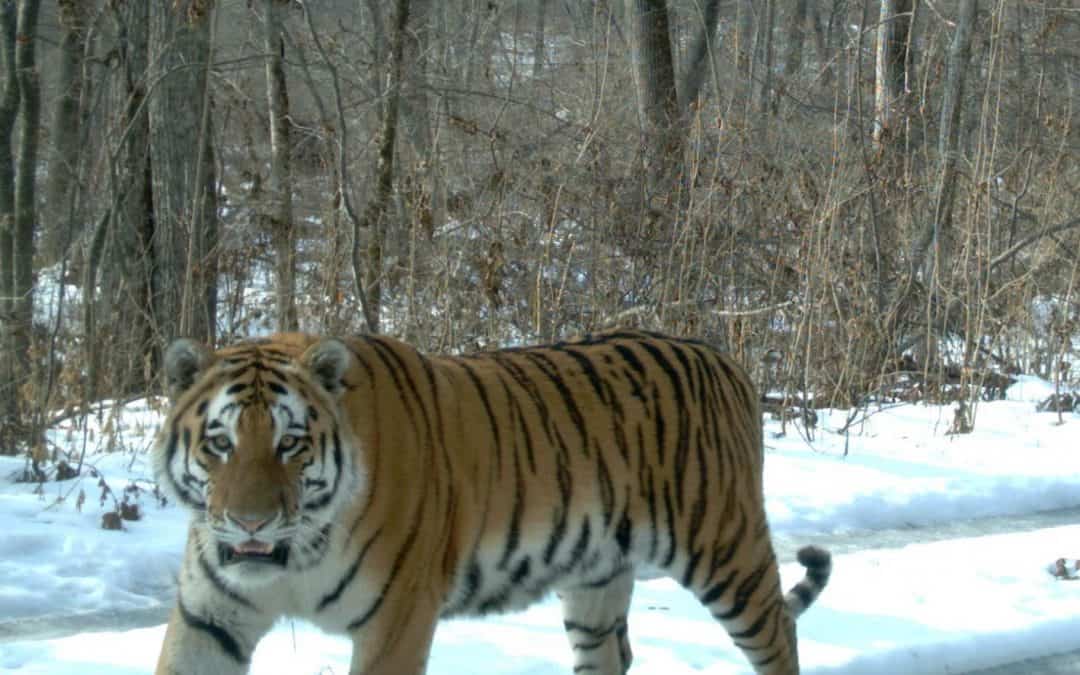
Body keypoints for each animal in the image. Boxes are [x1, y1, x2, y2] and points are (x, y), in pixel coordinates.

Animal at [152, 330, 829, 673]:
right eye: (220, 443)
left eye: (290, 443)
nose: (251, 522)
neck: (295, 556)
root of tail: (724, 359)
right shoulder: (209, 618)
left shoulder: (396, 620)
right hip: (596, 579)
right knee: (612, 653)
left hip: (724, 552)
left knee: (779, 637)